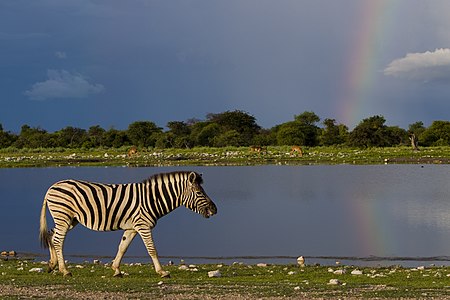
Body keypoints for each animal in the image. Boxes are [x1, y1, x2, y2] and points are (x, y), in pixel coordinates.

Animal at [39, 171, 219, 276]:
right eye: (199, 193)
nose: (215, 210)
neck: (152, 199)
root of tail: (52, 187)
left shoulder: (132, 227)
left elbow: (122, 247)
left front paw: (116, 269)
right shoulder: (143, 225)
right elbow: (152, 249)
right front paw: (162, 271)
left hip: (70, 219)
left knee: (51, 235)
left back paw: (52, 265)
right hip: (63, 216)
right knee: (58, 240)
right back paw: (64, 270)